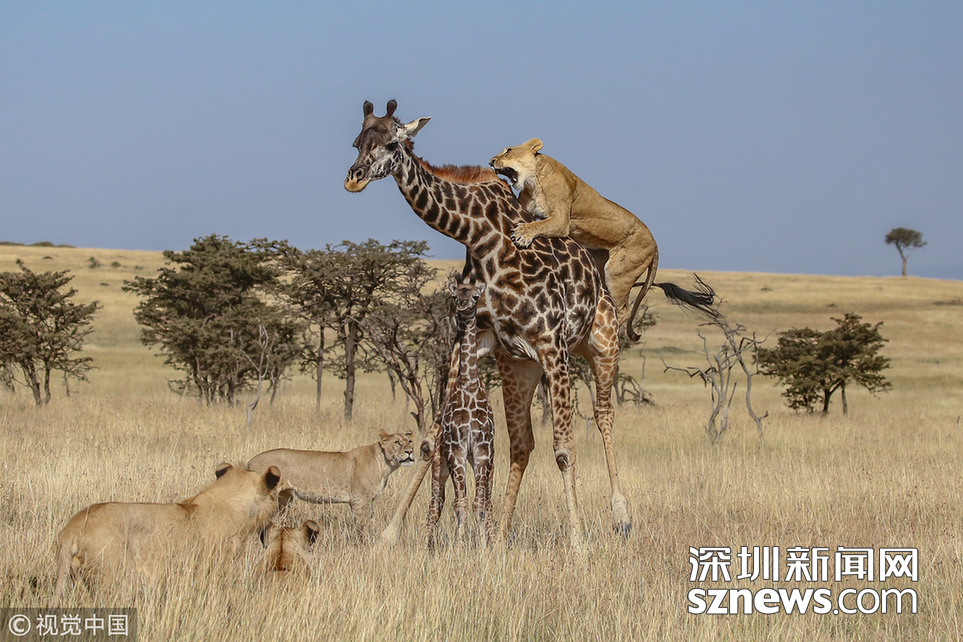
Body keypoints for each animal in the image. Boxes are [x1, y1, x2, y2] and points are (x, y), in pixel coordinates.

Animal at [246, 430, 415, 532]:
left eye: (410, 441)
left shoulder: (365, 501)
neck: (385, 464)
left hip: (283, 498)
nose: (410, 452)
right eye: (397, 442)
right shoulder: (359, 500)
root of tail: (250, 461)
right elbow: (363, 524)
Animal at [426, 276, 496, 549]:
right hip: (439, 465)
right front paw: (458, 546)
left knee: (484, 500)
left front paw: (485, 546)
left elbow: (480, 503)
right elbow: (460, 503)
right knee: (435, 506)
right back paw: (428, 547)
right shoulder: (456, 450)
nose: (463, 306)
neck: (469, 384)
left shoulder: (482, 451)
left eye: (476, 296)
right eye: (455, 296)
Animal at [490, 138, 659, 340]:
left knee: (623, 311)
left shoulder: (561, 221)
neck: (533, 182)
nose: (491, 161)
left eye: (508, 151)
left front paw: (523, 234)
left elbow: (539, 225)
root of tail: (655, 244)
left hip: (618, 272)